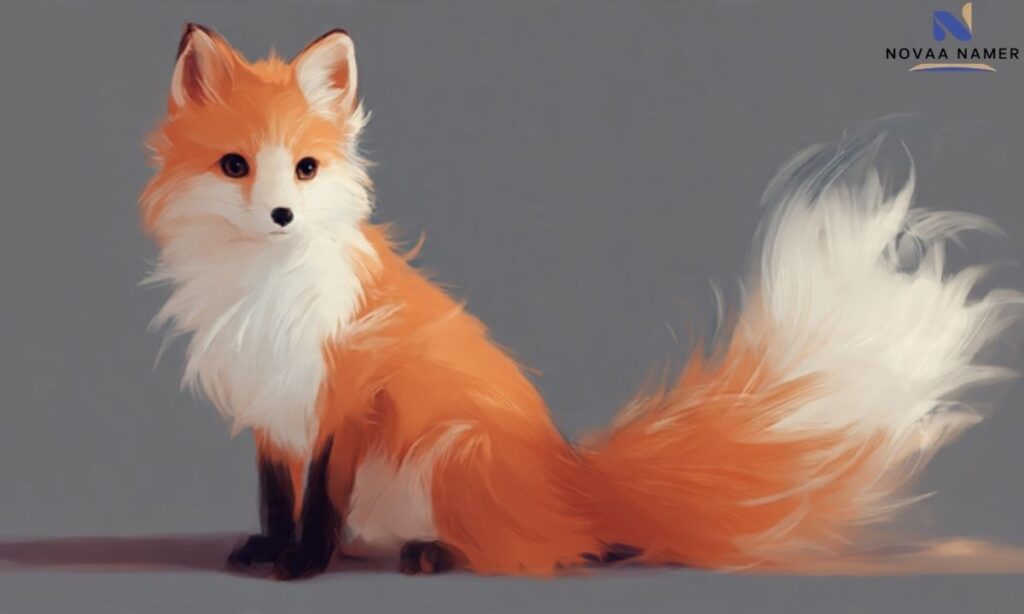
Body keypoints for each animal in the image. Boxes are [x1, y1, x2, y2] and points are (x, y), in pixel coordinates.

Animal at [140, 24, 1023, 580]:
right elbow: (277, 498)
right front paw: (270, 548)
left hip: (449, 453)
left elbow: (320, 503)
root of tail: (574, 476)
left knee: (555, 551)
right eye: (236, 166)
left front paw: (303, 565)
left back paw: (437, 555)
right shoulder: (270, 405)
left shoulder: (346, 400)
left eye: (307, 169)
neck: (262, 291)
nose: (282, 215)